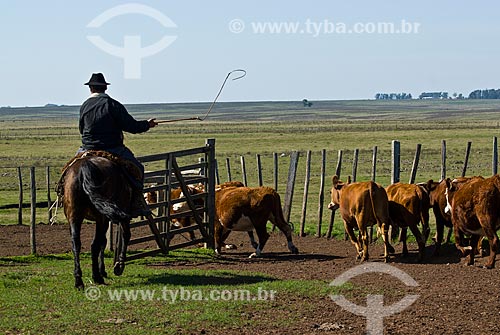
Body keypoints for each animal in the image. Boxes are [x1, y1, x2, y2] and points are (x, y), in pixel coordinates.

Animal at [61, 156, 134, 290]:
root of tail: (84, 167)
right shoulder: (117, 216)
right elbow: (123, 236)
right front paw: (118, 266)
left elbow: (103, 242)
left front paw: (103, 270)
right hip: (102, 218)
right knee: (94, 244)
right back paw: (97, 277)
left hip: (74, 216)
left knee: (76, 244)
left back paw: (79, 280)